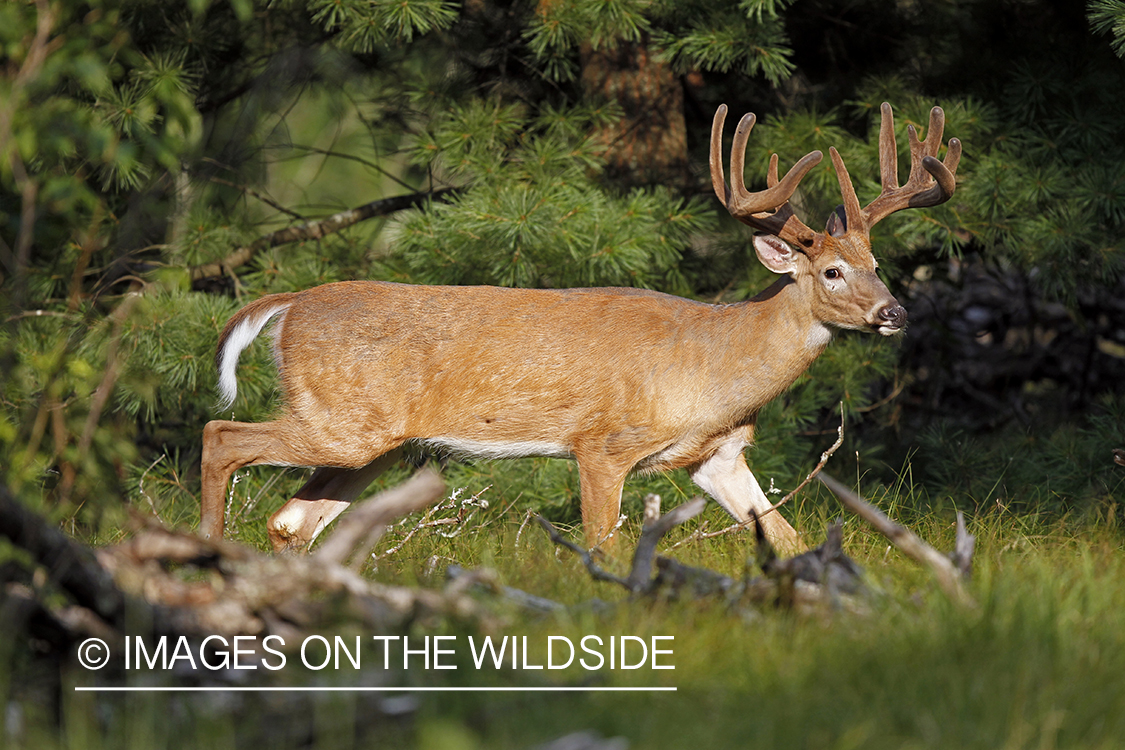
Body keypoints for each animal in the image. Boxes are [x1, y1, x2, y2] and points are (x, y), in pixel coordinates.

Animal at [200, 102, 958, 555]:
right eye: (831, 271)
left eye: (878, 265)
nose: (895, 312)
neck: (714, 361)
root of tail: (290, 304)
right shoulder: (602, 445)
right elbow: (604, 547)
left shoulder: (715, 455)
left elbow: (785, 535)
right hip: (342, 422)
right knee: (219, 435)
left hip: (371, 443)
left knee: (288, 520)